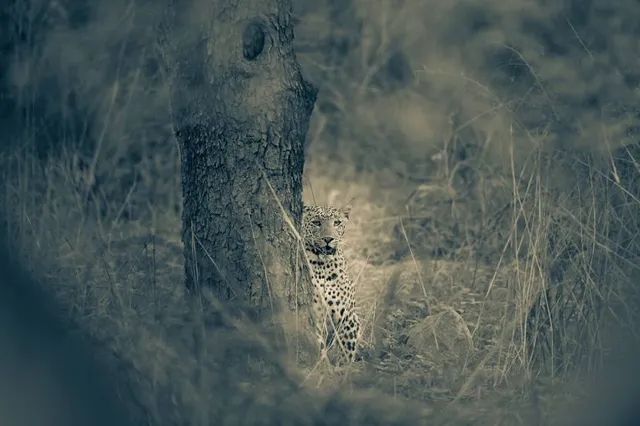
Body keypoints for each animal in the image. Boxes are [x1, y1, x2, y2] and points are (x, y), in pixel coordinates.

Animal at [302, 204, 361, 363]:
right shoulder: (316, 317)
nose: (328, 238)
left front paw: (344, 367)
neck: (323, 264)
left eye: (337, 223)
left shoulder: (349, 318)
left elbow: (347, 351)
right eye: (316, 222)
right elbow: (320, 346)